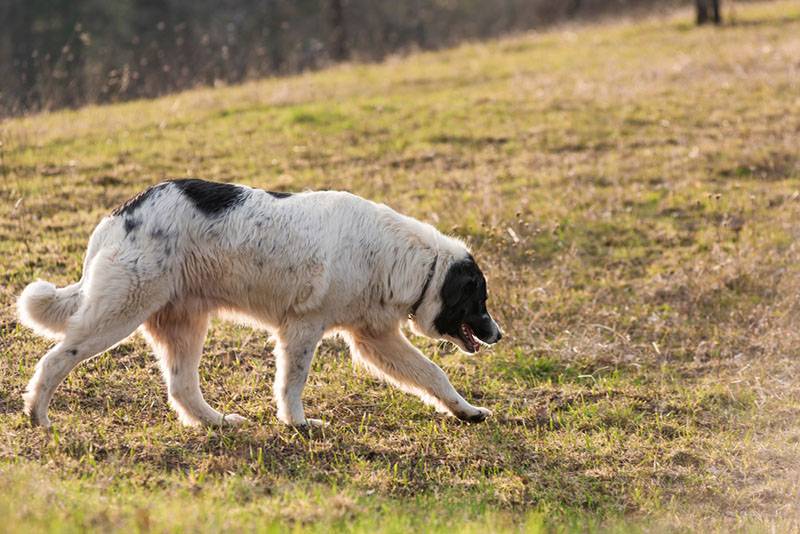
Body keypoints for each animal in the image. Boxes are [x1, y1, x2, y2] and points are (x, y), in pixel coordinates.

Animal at [17, 180, 500, 432]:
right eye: (479, 300)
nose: (498, 334)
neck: (414, 262)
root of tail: (119, 216)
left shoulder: (374, 338)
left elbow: (434, 376)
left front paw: (467, 411)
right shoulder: (303, 329)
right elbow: (292, 383)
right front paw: (298, 424)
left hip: (184, 322)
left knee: (181, 387)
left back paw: (216, 422)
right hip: (119, 312)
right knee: (56, 358)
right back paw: (37, 415)